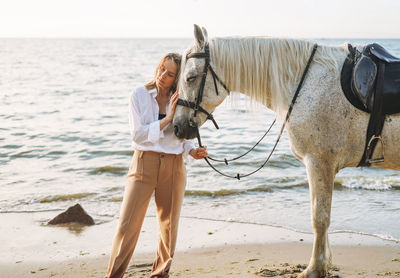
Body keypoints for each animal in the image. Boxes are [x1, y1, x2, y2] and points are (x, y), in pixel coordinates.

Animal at [173, 25, 400, 276]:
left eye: (190, 77)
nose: (177, 126)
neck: (308, 82)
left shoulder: (319, 162)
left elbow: (320, 217)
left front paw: (315, 268)